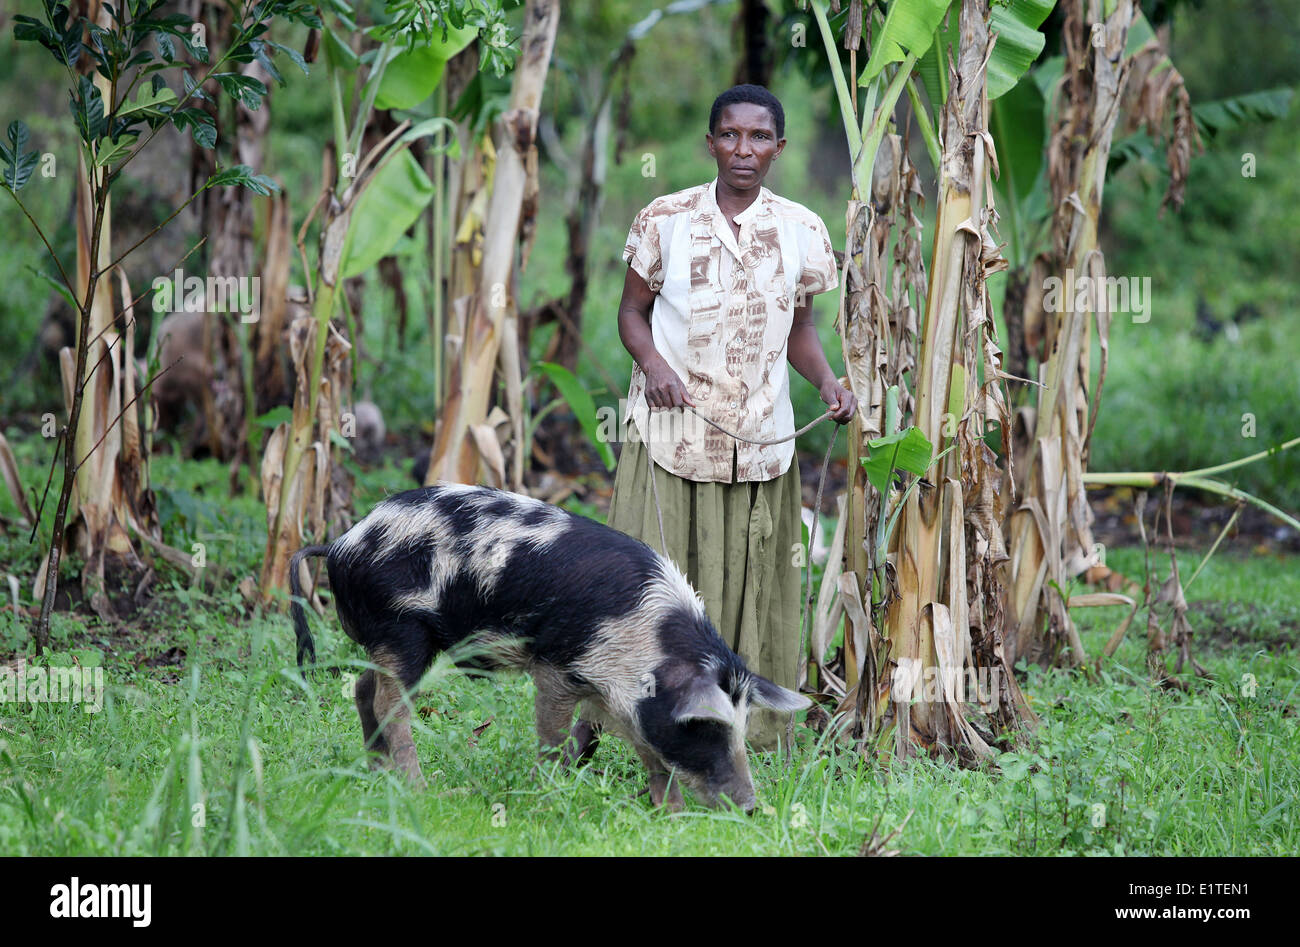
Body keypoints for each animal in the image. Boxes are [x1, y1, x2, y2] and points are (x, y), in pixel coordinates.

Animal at [289, 483, 806, 811]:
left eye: (741, 728)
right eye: (706, 729)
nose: (751, 808)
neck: (648, 648)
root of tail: (341, 543)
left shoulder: (621, 694)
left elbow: (649, 751)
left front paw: (670, 817)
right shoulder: (556, 667)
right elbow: (554, 738)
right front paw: (548, 797)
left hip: (388, 639)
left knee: (362, 688)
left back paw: (376, 777)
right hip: (403, 629)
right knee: (389, 703)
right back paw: (422, 791)